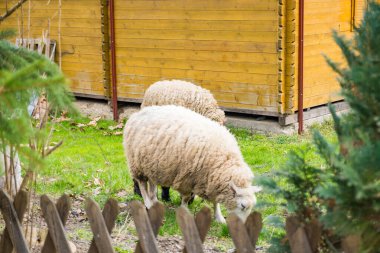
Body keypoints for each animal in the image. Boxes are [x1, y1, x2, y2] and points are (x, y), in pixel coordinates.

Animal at [123, 105, 260, 223]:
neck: (224, 161)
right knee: (142, 184)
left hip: (151, 163)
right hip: (137, 163)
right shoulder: (187, 179)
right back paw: (148, 203)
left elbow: (215, 202)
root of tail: (137, 113)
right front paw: (184, 211)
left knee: (152, 183)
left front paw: (219, 217)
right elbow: (186, 198)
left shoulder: (211, 181)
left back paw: (155, 202)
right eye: (242, 206)